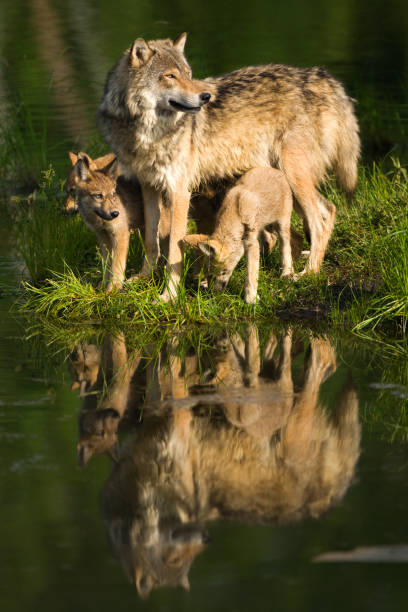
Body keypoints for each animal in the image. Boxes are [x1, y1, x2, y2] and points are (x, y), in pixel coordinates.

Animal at [185, 166, 296, 302]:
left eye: (223, 272)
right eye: (209, 274)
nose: (214, 295)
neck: (236, 213)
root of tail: (276, 171)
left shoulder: (251, 243)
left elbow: (251, 274)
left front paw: (251, 298)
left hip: (282, 225)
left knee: (285, 248)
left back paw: (287, 272)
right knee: (270, 240)